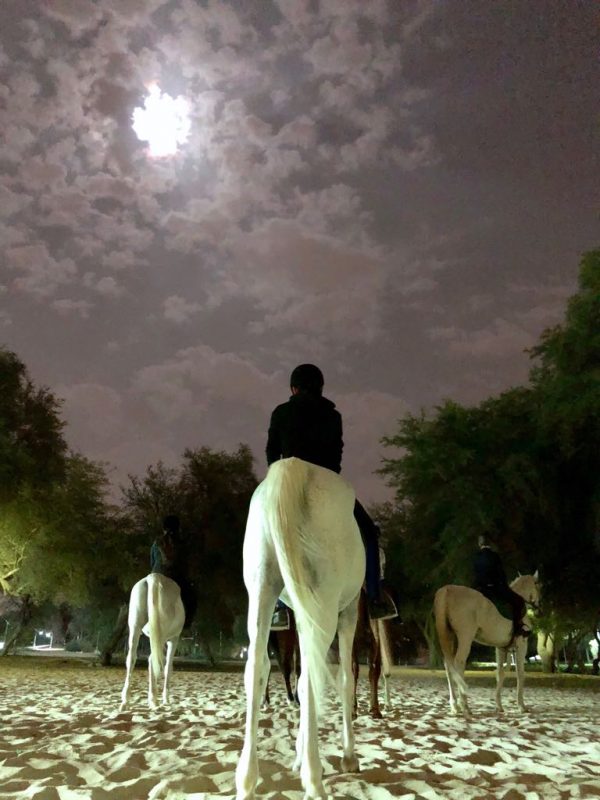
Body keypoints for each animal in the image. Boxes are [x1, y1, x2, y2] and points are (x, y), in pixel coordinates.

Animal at [117, 572, 183, 708]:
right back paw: (153, 699)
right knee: (153, 660)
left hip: (135, 628)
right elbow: (168, 667)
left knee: (131, 658)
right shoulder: (173, 639)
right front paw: (165, 698)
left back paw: (126, 699)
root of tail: (153, 577)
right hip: (161, 635)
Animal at [237, 456, 364, 800]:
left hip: (262, 591)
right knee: (311, 679)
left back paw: (248, 780)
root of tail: (290, 469)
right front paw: (348, 756)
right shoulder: (349, 611)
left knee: (257, 669)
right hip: (326, 606)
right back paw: (314, 779)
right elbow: (344, 678)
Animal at [432, 572, 540, 716]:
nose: (538, 609)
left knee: (449, 666)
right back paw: (464, 705)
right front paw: (521, 706)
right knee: (459, 662)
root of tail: (447, 590)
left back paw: (455, 706)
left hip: (450, 637)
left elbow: (500, 673)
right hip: (465, 637)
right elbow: (520, 674)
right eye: (537, 585)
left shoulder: (501, 648)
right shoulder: (521, 646)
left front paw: (499, 705)